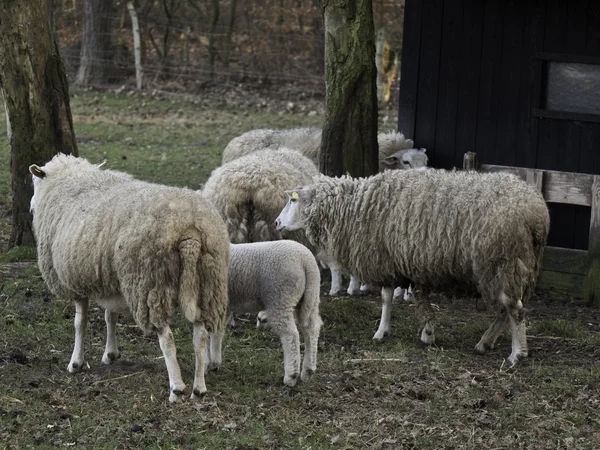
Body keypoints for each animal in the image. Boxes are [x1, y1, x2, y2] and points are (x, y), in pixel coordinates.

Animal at [28, 153, 231, 402]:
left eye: (35, 182)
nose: (30, 206)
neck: (70, 183)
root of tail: (190, 230)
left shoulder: (76, 282)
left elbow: (80, 322)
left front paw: (76, 362)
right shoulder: (110, 280)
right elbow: (110, 316)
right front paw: (110, 354)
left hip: (150, 284)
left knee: (167, 338)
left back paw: (176, 388)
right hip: (208, 282)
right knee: (200, 336)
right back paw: (199, 388)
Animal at [209, 241, 326, 384]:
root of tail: (306, 261)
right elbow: (217, 332)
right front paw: (213, 362)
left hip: (281, 297)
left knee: (290, 335)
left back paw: (291, 376)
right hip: (311, 296)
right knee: (312, 329)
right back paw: (308, 371)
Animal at [276, 169, 548, 366]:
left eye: (292, 200)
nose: (277, 223)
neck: (355, 207)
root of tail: (536, 214)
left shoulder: (385, 259)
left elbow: (386, 298)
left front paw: (382, 331)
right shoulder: (408, 262)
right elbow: (416, 298)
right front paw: (427, 332)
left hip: (502, 262)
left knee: (515, 309)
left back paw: (516, 354)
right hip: (512, 267)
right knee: (506, 309)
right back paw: (485, 343)